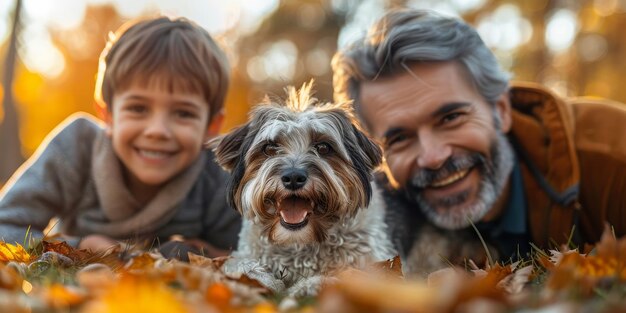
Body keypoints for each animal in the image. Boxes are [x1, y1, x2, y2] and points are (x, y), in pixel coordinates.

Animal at [212, 82, 392, 294]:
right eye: (269, 148)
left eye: (323, 147)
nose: (293, 178)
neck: (298, 243)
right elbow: (237, 264)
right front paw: (258, 279)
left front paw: (308, 286)